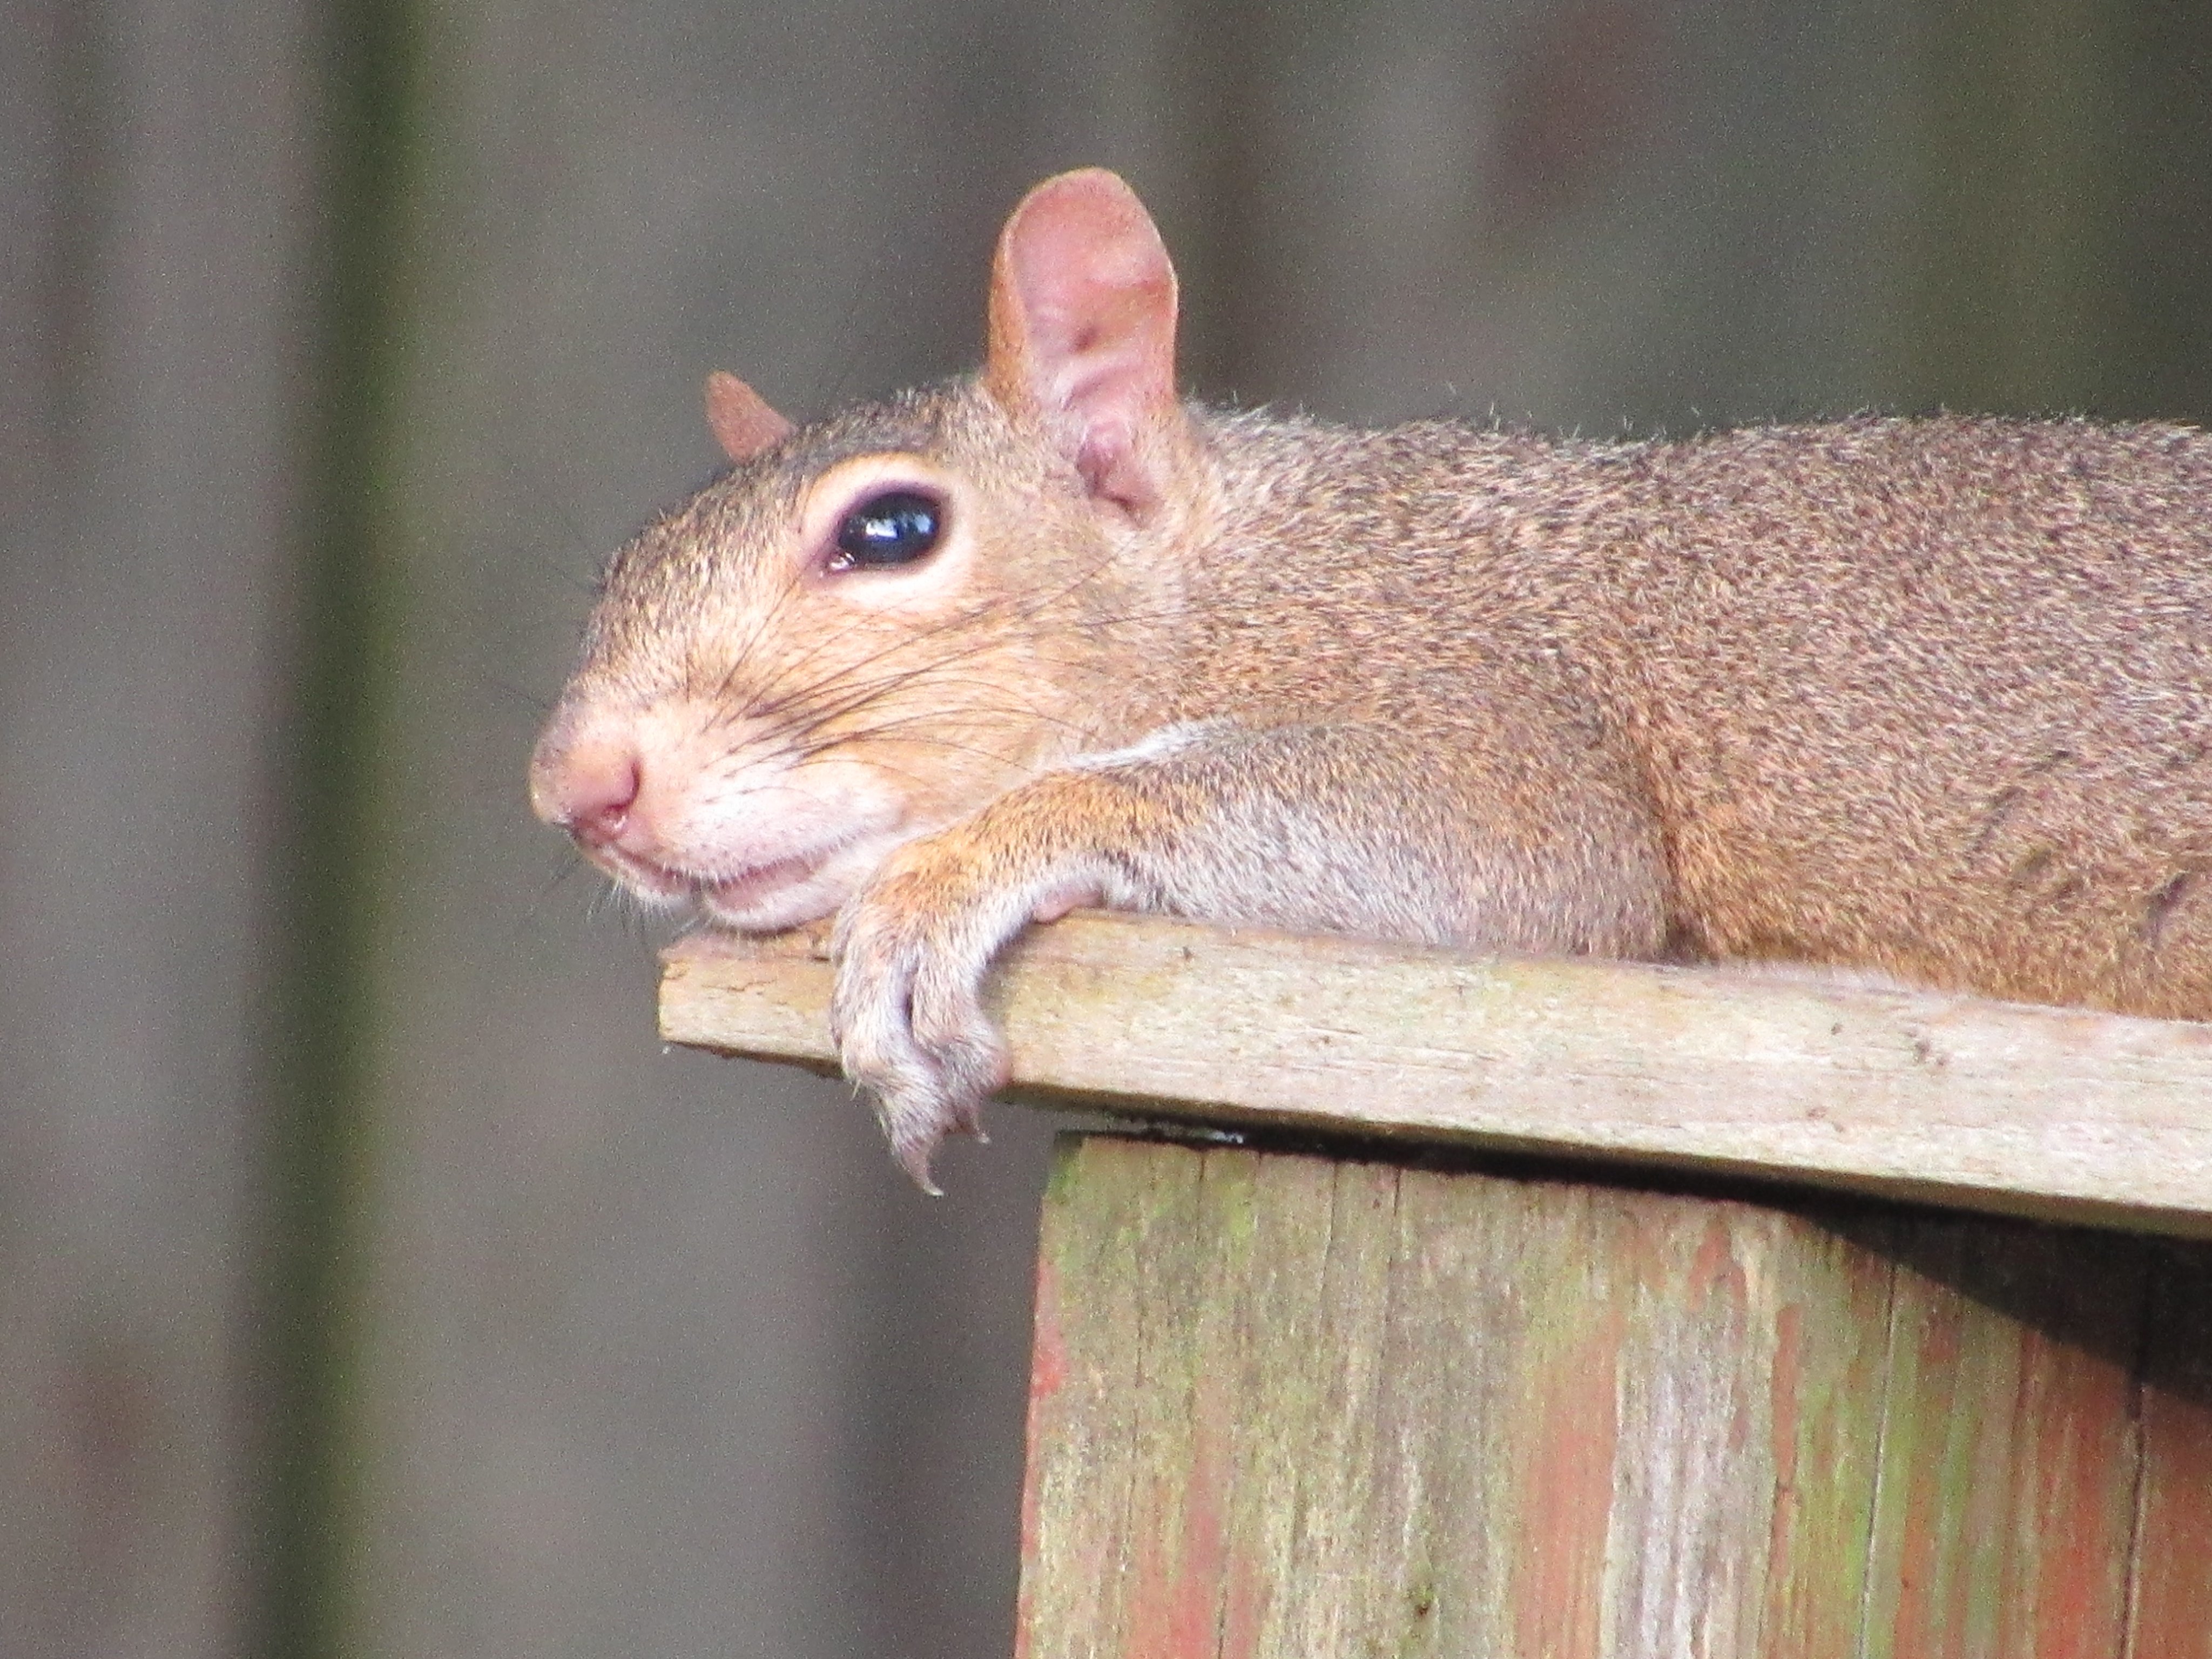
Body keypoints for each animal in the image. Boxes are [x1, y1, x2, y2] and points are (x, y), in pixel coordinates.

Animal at [531, 167, 2212, 1190]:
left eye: (891, 530)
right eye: (618, 564)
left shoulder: (1511, 728)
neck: (1262, 578)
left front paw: (944, 890)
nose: (579, 787)